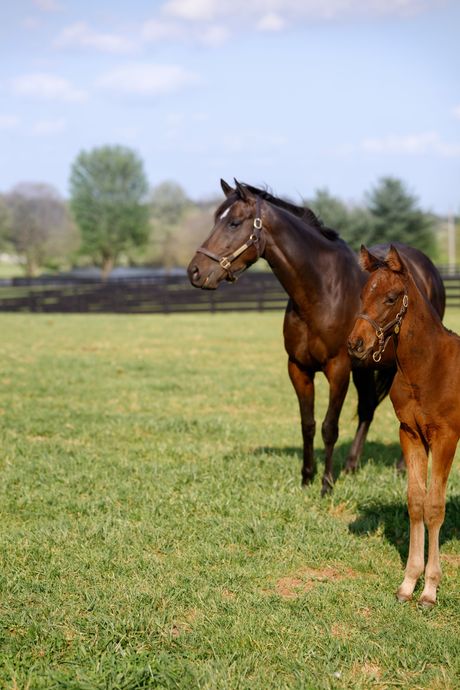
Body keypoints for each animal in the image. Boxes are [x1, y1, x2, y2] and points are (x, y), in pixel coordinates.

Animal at [187, 180, 445, 495]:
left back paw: (400, 468)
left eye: (234, 223)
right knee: (367, 408)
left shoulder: (338, 369)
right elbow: (307, 424)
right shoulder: (299, 368)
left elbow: (329, 427)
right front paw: (307, 478)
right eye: (215, 220)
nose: (195, 271)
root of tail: (427, 267)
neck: (320, 291)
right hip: (365, 368)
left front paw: (326, 484)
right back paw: (351, 466)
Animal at [348, 245, 458, 606]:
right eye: (362, 294)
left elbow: (434, 506)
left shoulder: (445, 437)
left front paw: (430, 589)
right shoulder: (410, 434)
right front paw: (408, 583)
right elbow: (415, 502)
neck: (427, 367)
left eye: (391, 297)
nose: (355, 343)